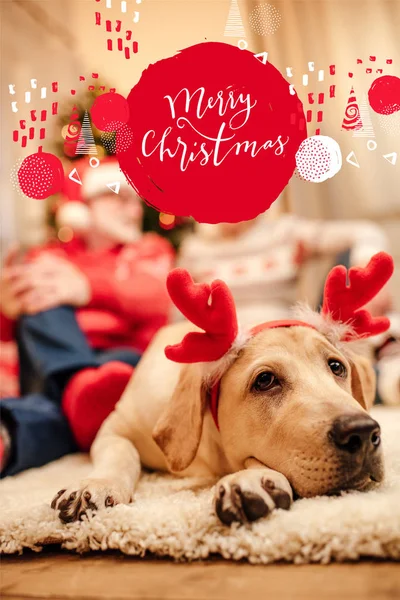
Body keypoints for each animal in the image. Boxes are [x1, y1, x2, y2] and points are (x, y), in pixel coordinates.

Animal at [52, 253, 394, 524]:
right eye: (265, 380)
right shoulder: (117, 427)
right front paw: (97, 484)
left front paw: (254, 479)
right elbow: (121, 454)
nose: (363, 432)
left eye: (336, 367)